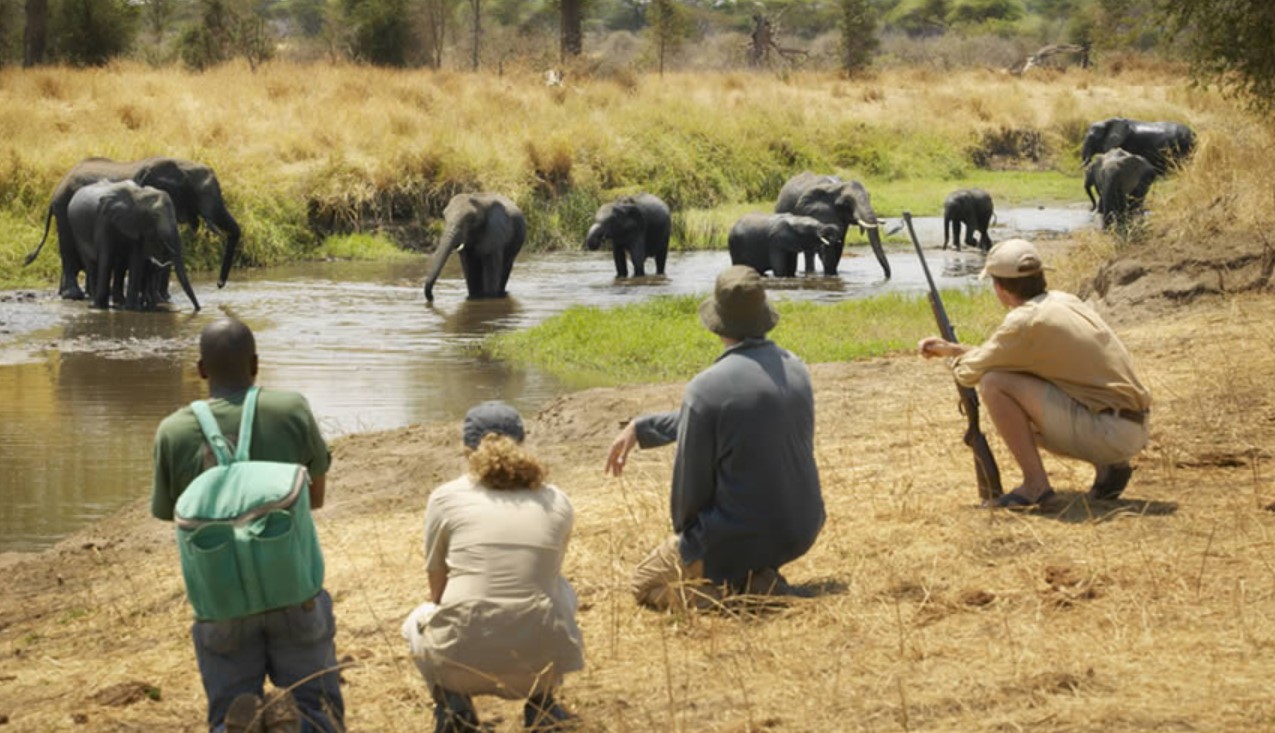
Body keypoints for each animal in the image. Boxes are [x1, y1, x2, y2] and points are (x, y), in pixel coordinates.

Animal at [23, 156, 240, 299]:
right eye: (202, 194)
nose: (219, 284)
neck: (183, 164)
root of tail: (56, 190)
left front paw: (164, 299)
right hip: (64, 211)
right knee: (68, 249)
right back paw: (74, 295)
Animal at [66, 183, 200, 312]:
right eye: (155, 215)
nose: (197, 309)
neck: (139, 194)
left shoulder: (136, 225)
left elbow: (136, 259)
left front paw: (132, 308)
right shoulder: (104, 220)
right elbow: (106, 258)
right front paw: (101, 308)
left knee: (119, 268)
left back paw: (119, 302)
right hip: (77, 231)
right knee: (91, 264)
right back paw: (94, 304)